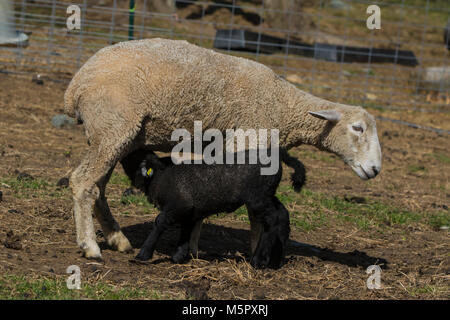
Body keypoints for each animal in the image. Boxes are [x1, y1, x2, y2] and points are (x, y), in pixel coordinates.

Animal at [63, 39, 380, 260]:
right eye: (358, 129)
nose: (375, 169)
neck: (282, 105)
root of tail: (76, 83)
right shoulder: (246, 145)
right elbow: (253, 214)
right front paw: (256, 251)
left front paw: (190, 246)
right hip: (113, 127)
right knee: (82, 181)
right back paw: (90, 246)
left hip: (114, 134)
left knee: (98, 187)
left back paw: (117, 239)